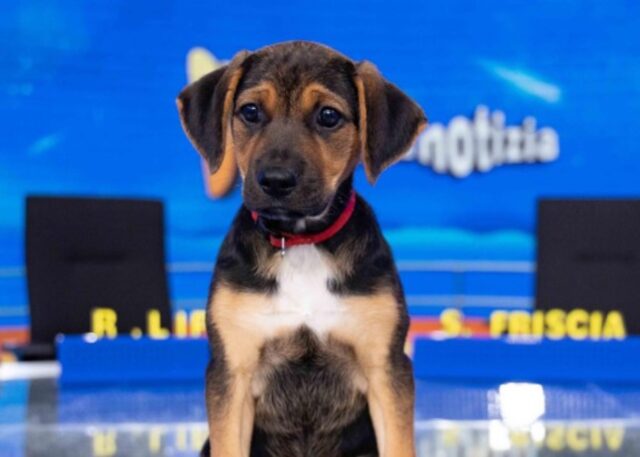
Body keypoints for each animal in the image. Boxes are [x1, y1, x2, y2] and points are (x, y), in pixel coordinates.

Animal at [176, 41, 424, 454]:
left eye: (328, 116)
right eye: (250, 111)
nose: (276, 181)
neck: (300, 243)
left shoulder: (386, 370)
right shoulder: (232, 372)